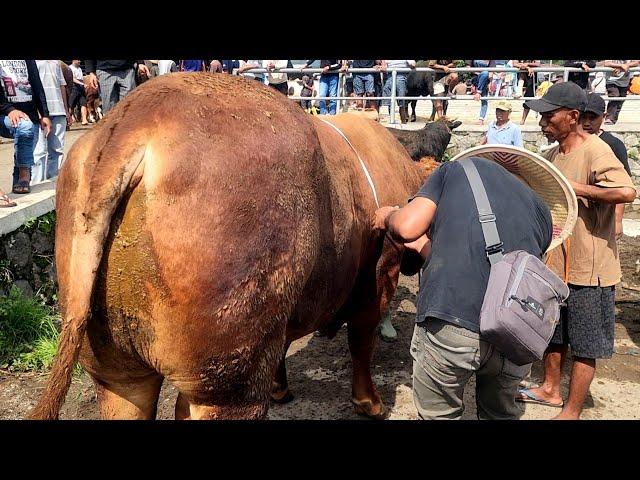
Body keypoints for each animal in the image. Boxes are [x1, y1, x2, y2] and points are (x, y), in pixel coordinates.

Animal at [28, 72, 436, 420]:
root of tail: (138, 117)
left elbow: (285, 347)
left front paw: (280, 388)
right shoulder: (381, 268)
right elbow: (362, 337)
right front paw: (369, 402)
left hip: (115, 369)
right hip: (229, 377)